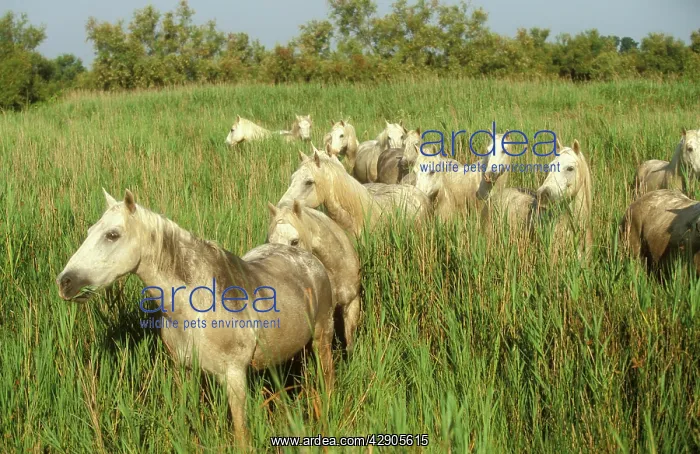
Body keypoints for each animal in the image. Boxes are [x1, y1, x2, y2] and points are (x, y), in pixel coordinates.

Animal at [55, 189, 335, 447]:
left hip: (322, 337)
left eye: (112, 235)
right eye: (91, 231)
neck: (197, 308)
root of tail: (308, 259)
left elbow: (241, 433)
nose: (65, 282)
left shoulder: (234, 376)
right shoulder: (186, 370)